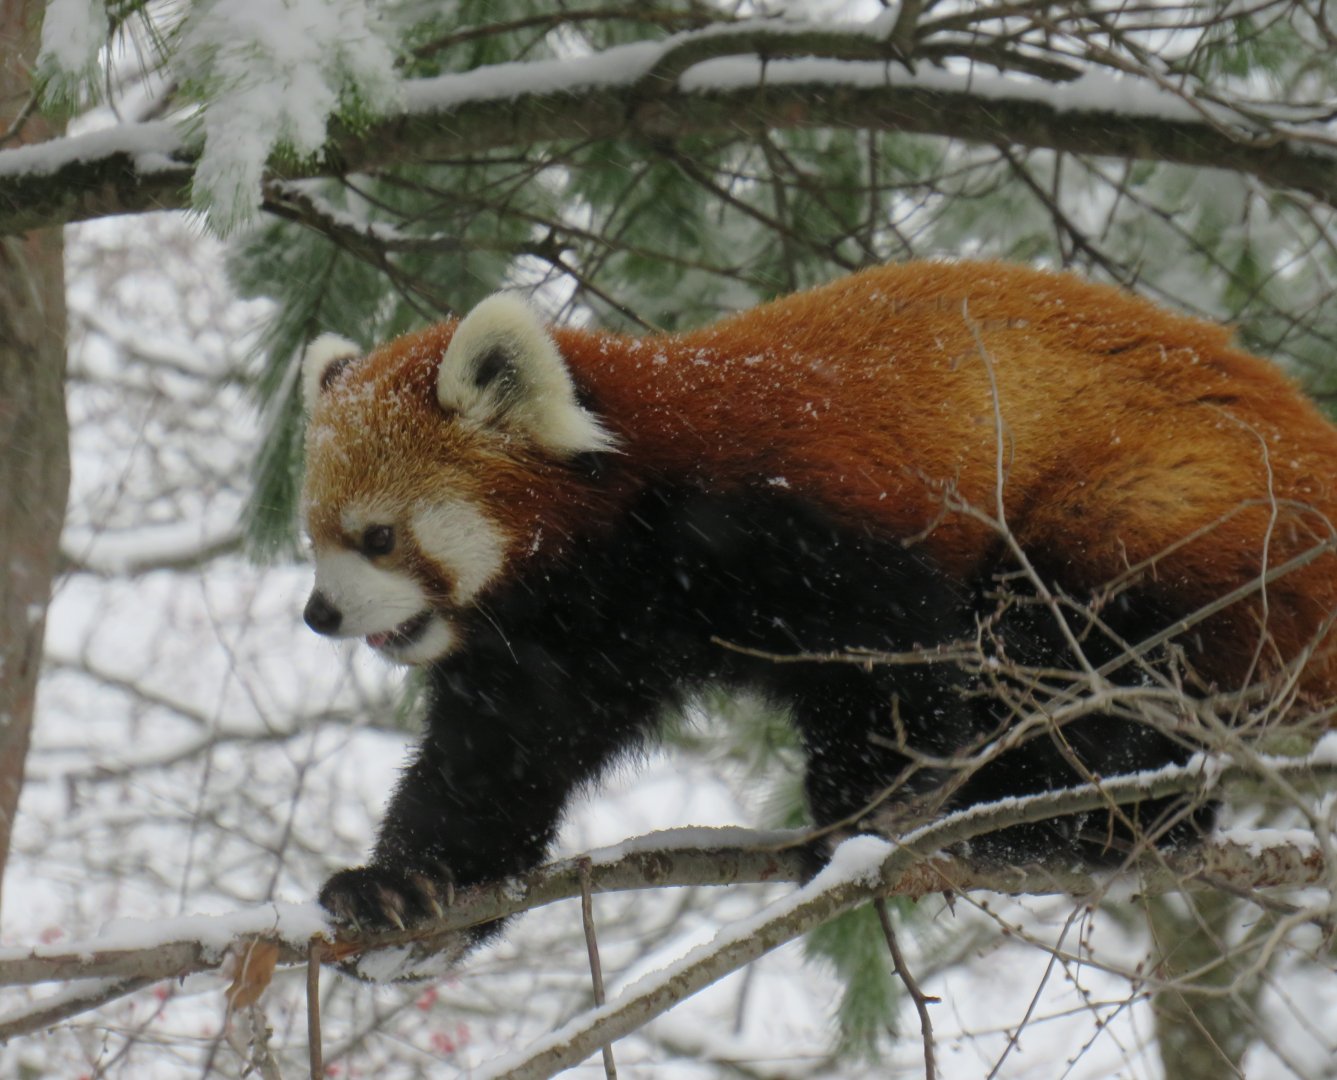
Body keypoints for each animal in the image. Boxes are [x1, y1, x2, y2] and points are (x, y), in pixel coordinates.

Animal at [299, 260, 1337, 938]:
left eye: (378, 537)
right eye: (313, 536)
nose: (319, 616)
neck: (629, 539)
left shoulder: (789, 521)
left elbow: (892, 660)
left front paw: (857, 821)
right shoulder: (566, 640)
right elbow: (495, 762)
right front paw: (402, 886)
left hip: (1167, 506)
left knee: (1082, 652)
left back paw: (1069, 816)